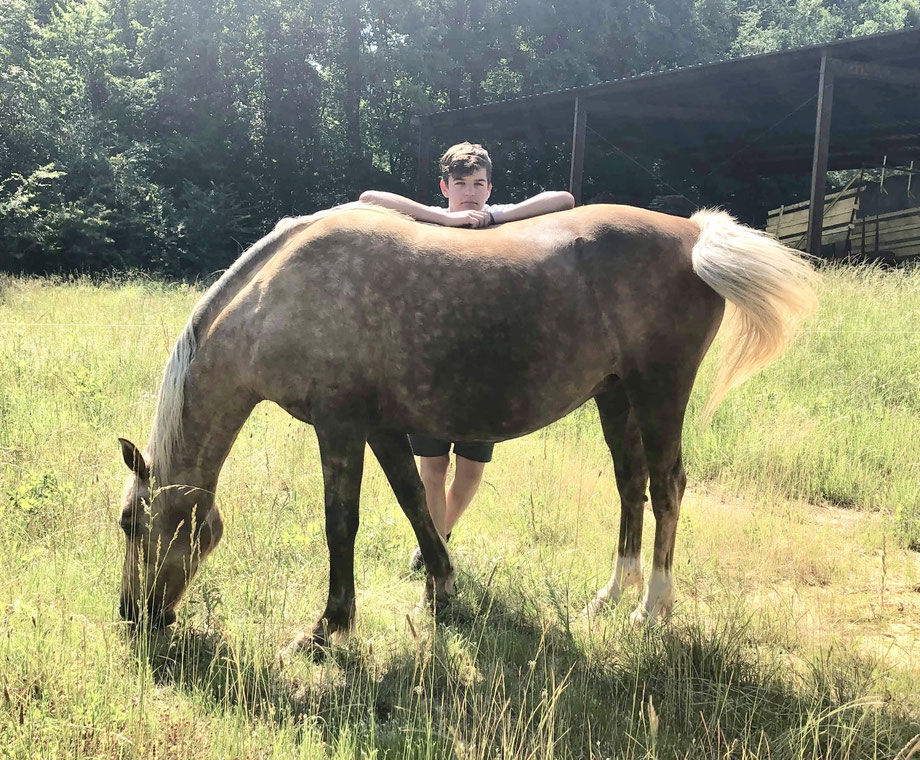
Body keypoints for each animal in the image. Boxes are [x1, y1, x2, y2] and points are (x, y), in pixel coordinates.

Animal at [116, 202, 818, 650]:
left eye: (128, 523)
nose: (131, 616)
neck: (278, 295)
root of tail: (693, 235)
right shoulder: (383, 427)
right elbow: (414, 502)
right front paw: (442, 589)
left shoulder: (339, 425)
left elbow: (341, 524)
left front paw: (328, 628)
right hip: (616, 398)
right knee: (632, 486)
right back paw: (611, 595)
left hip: (659, 392)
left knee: (668, 487)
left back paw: (652, 610)